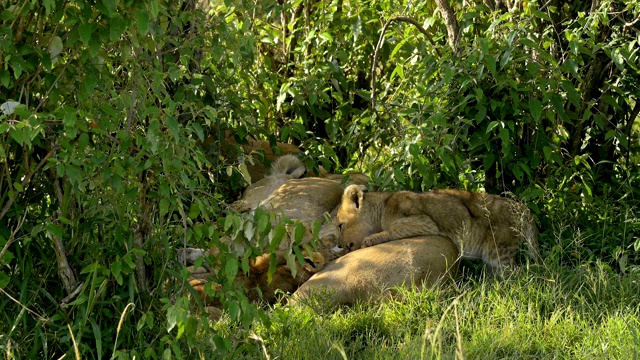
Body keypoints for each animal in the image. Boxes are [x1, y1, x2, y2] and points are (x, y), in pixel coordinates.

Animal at [320, 186, 540, 272]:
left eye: (340, 225)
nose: (340, 245)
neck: (382, 206)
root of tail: (523, 209)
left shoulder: (424, 222)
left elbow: (392, 230)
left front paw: (369, 240)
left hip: (498, 251)